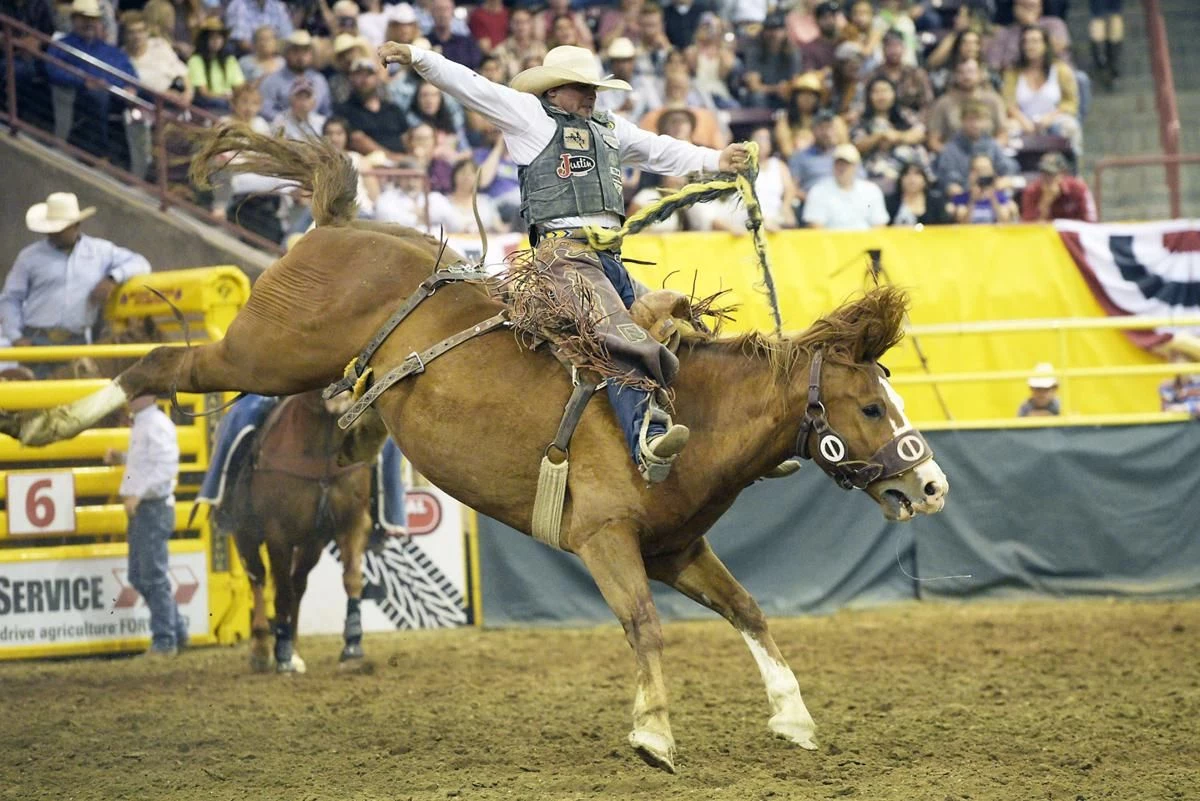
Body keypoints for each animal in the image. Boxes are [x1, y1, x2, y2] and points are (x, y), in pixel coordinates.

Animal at [4, 128, 950, 772]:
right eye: (872, 403)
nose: (934, 484)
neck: (689, 411)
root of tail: (341, 225)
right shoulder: (603, 540)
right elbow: (644, 624)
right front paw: (653, 732)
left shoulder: (677, 548)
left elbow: (750, 608)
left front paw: (793, 717)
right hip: (263, 354)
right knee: (163, 366)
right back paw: (49, 424)